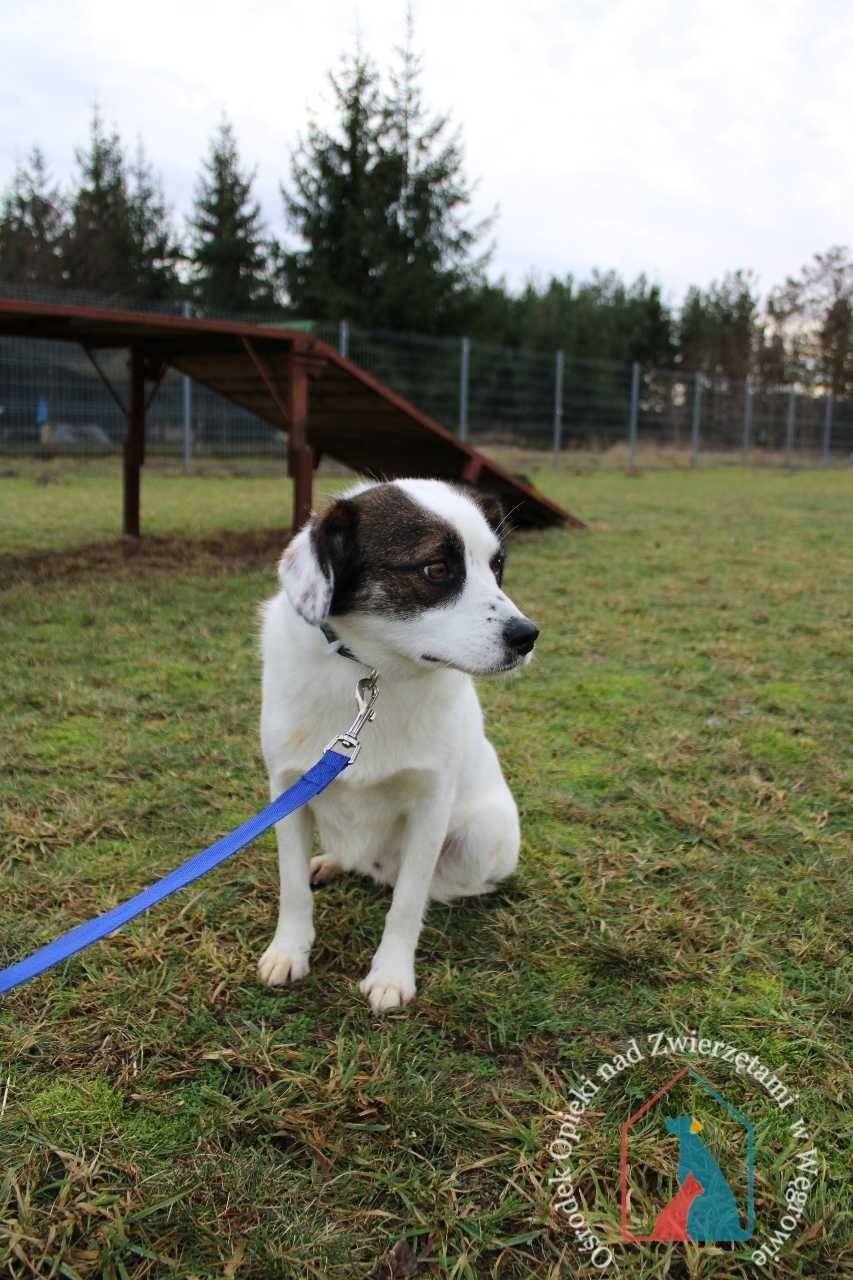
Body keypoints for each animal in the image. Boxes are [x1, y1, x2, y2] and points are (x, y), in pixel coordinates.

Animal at [257, 478, 537, 1008]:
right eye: (436, 569)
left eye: (497, 566)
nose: (528, 636)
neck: (371, 674)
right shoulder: (288, 789)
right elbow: (292, 886)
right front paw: (289, 951)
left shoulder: (431, 805)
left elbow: (407, 901)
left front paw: (390, 974)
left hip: (480, 833)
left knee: (440, 884)